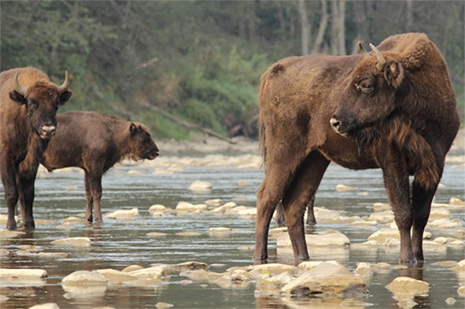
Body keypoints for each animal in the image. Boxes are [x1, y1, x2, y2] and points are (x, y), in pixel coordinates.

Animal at [0, 65, 71, 229]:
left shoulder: (32, 162)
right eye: (32, 102)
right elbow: (11, 193)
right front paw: (10, 225)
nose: (48, 130)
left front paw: (29, 224)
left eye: (56, 103)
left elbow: (27, 194)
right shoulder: (6, 158)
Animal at [256, 34, 458, 264]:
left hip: (314, 159)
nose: (335, 122)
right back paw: (260, 257)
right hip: (283, 154)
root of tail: (272, 72)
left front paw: (419, 257)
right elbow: (404, 214)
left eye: (366, 85)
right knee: (266, 198)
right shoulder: (392, 162)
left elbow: (422, 216)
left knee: (294, 204)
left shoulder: (435, 165)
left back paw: (303, 256)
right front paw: (406, 259)